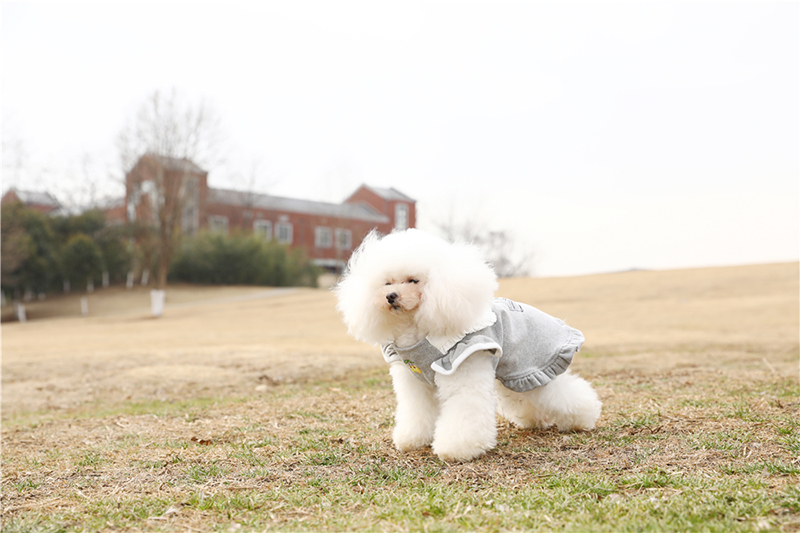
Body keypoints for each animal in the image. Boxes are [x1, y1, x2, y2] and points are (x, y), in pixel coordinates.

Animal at [335, 229, 601, 462]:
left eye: (413, 280)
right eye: (387, 283)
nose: (391, 297)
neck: (418, 331)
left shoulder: (462, 368)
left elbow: (464, 410)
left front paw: (457, 449)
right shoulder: (415, 382)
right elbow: (417, 410)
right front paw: (414, 439)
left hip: (531, 365)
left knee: (560, 392)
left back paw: (584, 418)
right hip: (513, 374)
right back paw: (534, 421)